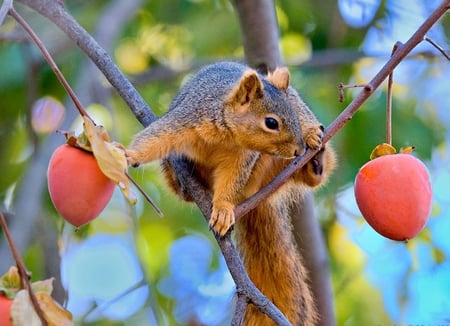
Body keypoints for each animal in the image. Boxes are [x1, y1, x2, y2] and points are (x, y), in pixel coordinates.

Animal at [125, 61, 334, 324]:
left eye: (293, 117)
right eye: (271, 123)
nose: (297, 150)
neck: (226, 134)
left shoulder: (240, 158)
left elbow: (229, 183)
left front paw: (223, 210)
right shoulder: (185, 120)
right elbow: (153, 140)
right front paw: (127, 155)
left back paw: (315, 160)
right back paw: (180, 182)